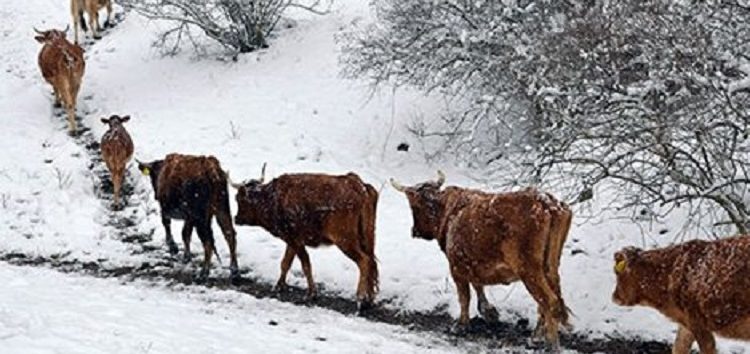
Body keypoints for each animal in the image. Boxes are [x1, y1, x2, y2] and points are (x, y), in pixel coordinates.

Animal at [228, 165, 382, 310]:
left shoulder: (295, 240)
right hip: (367, 238)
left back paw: (361, 300)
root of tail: (359, 185)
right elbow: (285, 263)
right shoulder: (290, 240)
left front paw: (311, 294)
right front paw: (278, 285)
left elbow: (305, 264)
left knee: (364, 261)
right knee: (372, 263)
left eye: (238, 199)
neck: (271, 199)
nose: (236, 218)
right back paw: (370, 300)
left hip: (345, 241)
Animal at [390, 172, 572, 352]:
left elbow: (464, 296)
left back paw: (551, 344)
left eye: (414, 207)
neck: (449, 212)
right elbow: (478, 285)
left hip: (529, 271)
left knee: (550, 301)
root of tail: (548, 203)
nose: (415, 231)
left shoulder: (456, 266)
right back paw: (535, 338)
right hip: (550, 268)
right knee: (549, 302)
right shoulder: (473, 264)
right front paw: (489, 312)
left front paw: (461, 324)